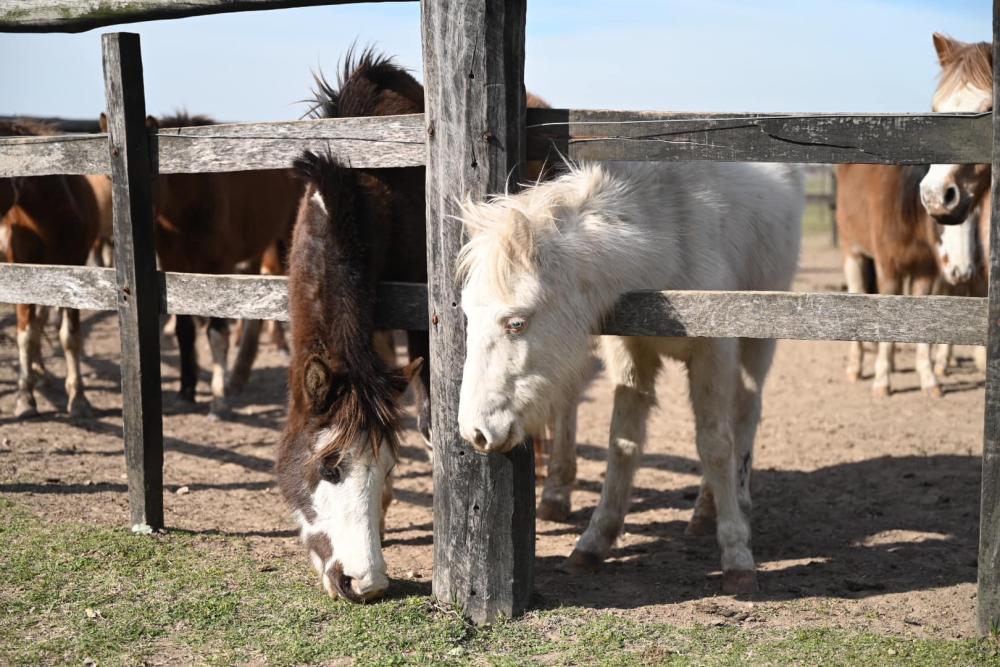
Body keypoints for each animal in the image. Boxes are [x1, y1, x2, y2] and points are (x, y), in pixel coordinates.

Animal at [1, 120, 100, 418]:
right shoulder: (21, 269)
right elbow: (25, 335)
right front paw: (25, 398)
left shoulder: (74, 268)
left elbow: (69, 336)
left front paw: (78, 398)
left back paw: (41, 371)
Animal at [458, 160, 800, 596]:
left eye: (516, 323)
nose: (475, 433)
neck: (671, 242)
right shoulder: (630, 354)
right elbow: (623, 444)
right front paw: (593, 544)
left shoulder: (714, 353)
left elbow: (715, 445)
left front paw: (737, 557)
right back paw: (706, 509)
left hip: (759, 341)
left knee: (745, 415)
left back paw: (734, 504)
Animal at [836, 164, 976, 400]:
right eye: (941, 224)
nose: (961, 272)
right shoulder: (888, 269)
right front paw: (882, 381)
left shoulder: (925, 271)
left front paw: (929, 379)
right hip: (852, 252)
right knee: (856, 291)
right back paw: (856, 367)